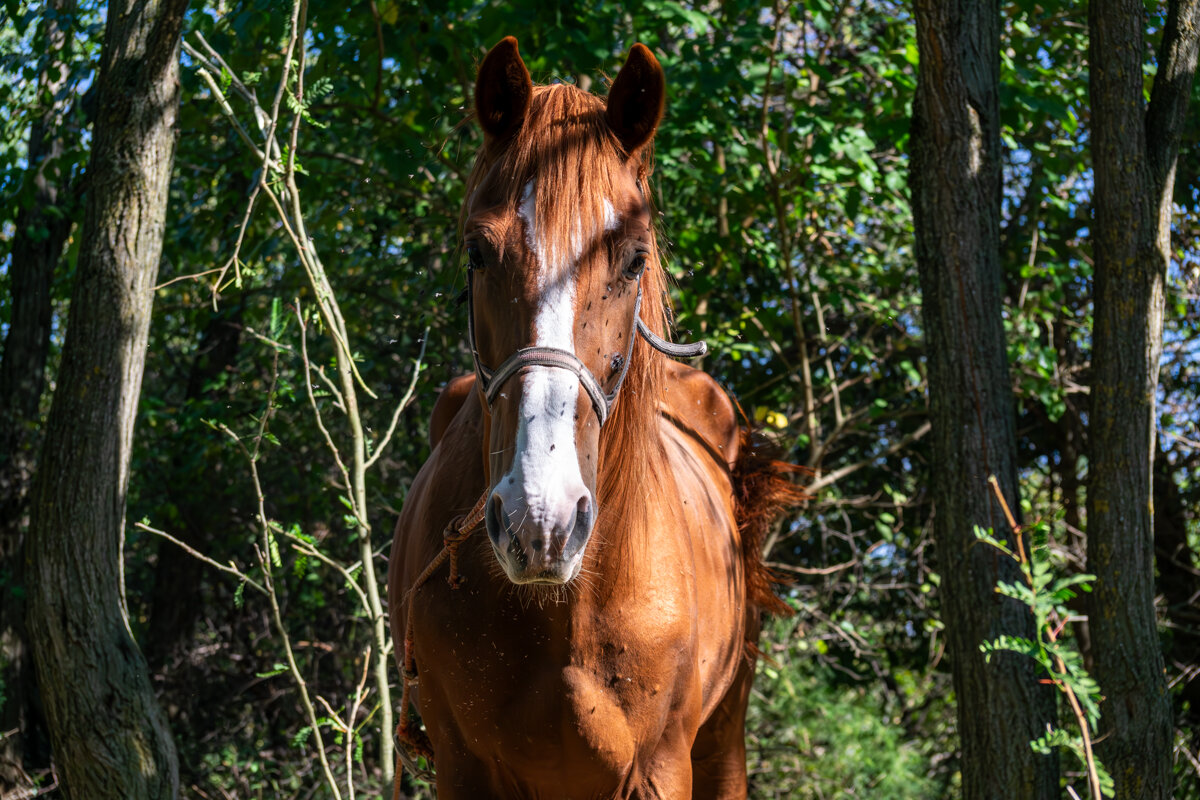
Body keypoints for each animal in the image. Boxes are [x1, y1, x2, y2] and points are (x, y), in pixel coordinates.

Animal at [388, 38, 801, 800]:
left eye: (634, 260)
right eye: (477, 252)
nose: (541, 520)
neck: (564, 613)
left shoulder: (661, 767)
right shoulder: (463, 769)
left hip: (724, 741)